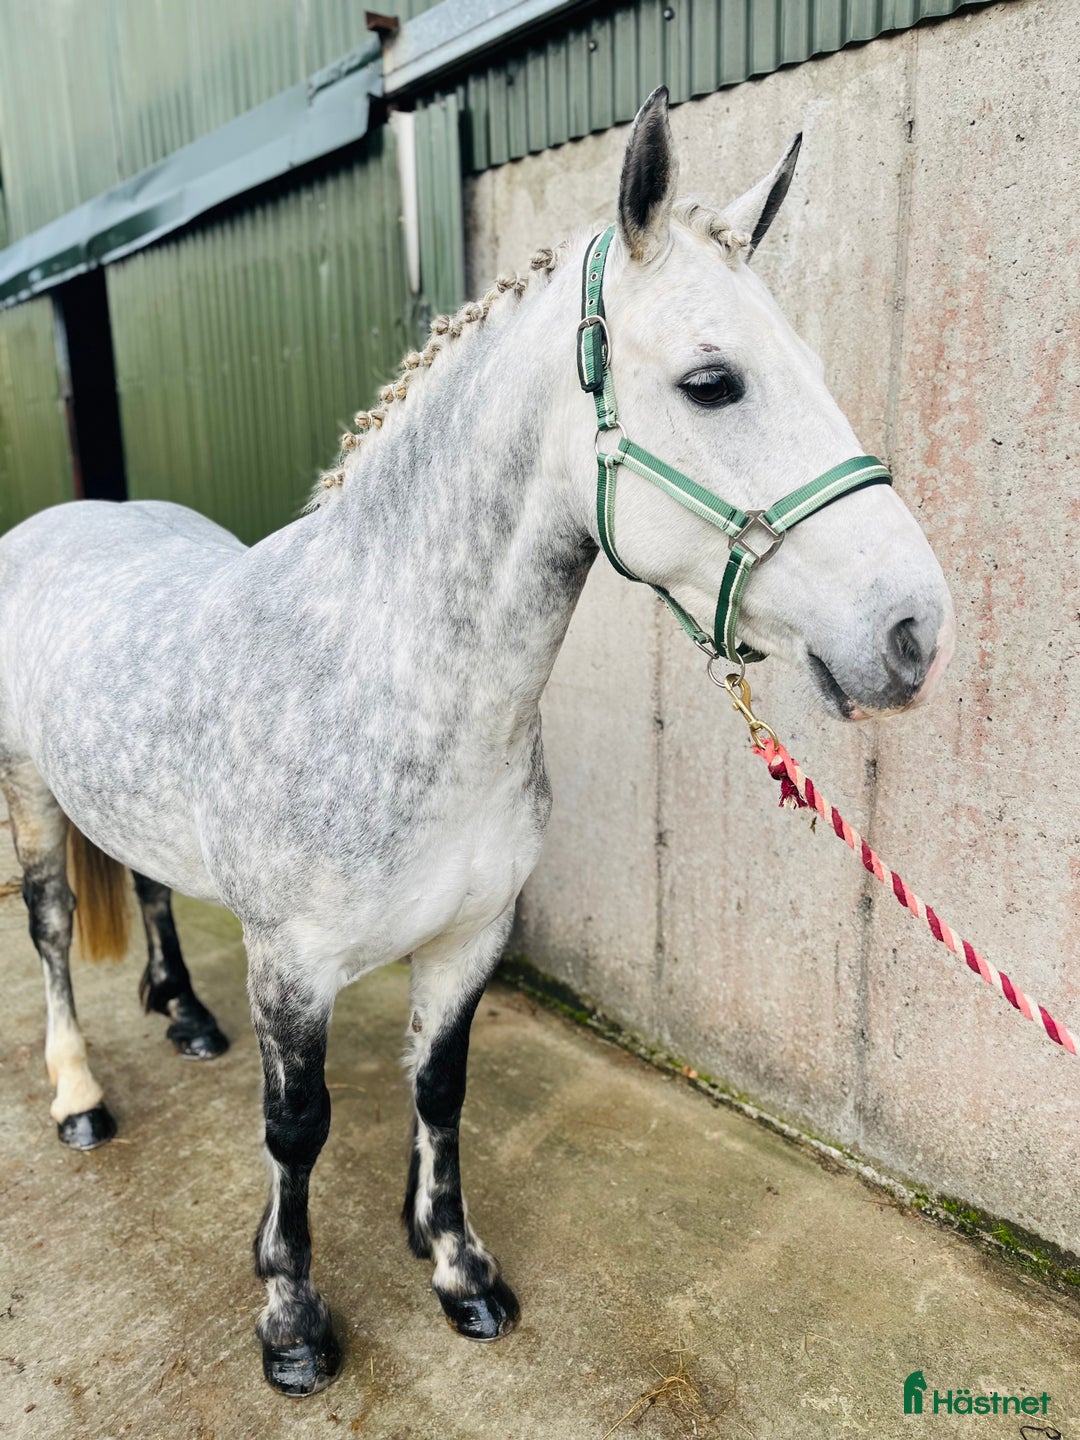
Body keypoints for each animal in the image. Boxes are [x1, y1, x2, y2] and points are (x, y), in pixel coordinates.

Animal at [0, 87, 954, 1395]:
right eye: (713, 381)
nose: (915, 630)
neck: (382, 678)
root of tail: (63, 520)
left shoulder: (469, 936)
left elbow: (441, 1088)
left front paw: (455, 1268)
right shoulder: (292, 966)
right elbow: (295, 1130)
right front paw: (289, 1316)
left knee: (144, 884)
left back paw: (185, 1016)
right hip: (32, 794)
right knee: (51, 932)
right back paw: (80, 1097)